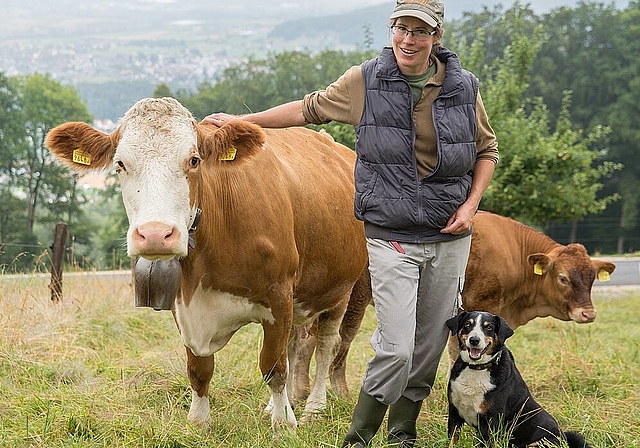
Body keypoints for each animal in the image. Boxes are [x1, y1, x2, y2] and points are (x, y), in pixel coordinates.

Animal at [45, 97, 368, 428]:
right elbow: (199, 369)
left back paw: (314, 405)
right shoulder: (185, 303)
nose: (155, 235)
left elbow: (273, 367)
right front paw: (199, 420)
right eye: (120, 164)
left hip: (342, 290)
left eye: (194, 160)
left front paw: (283, 423)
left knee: (327, 344)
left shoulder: (279, 296)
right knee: (296, 342)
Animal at [444, 312, 592, 448]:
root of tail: (564, 438)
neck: (476, 369)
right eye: (467, 325)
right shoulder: (454, 412)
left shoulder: (490, 422)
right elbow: (452, 439)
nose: (474, 340)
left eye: (489, 327)